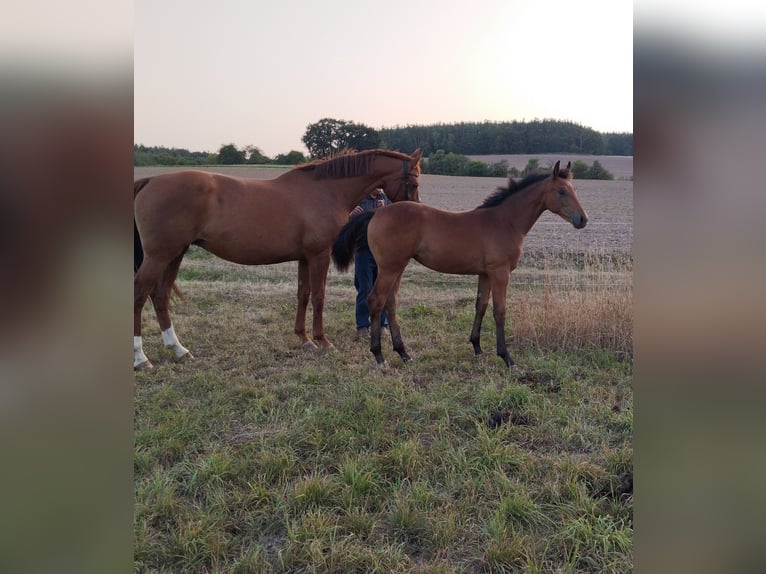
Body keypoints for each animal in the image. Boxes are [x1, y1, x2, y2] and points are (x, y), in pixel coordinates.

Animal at [135, 148, 424, 372]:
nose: (415, 211)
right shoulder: (319, 256)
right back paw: (141, 358)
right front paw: (323, 341)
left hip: (175, 254)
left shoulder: (305, 258)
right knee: (140, 294)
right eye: (415, 182)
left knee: (160, 297)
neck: (325, 191)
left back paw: (178, 349)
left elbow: (303, 295)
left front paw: (305, 339)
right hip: (159, 256)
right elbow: (319, 296)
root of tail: (150, 180)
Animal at [332, 162, 592, 368]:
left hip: (398, 267)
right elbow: (500, 310)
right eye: (561, 191)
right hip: (390, 267)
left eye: (575, 190)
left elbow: (481, 305)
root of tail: (376, 213)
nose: (583, 219)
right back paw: (379, 355)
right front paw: (506, 357)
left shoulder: (485, 274)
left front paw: (477, 347)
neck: (505, 221)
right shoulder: (500, 272)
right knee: (376, 300)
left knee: (391, 303)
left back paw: (404, 353)